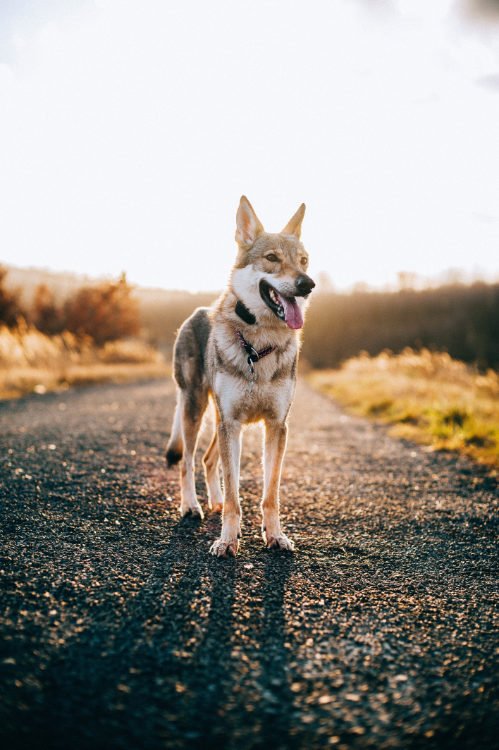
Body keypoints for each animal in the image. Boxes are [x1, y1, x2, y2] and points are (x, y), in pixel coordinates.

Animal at [168, 197, 316, 560]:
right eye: (272, 258)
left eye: (303, 261)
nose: (308, 283)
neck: (259, 345)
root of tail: (197, 312)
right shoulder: (232, 424)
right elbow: (237, 496)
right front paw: (226, 541)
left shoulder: (276, 426)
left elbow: (269, 495)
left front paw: (275, 537)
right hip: (196, 411)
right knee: (188, 462)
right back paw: (191, 506)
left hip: (219, 423)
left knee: (209, 461)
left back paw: (216, 501)